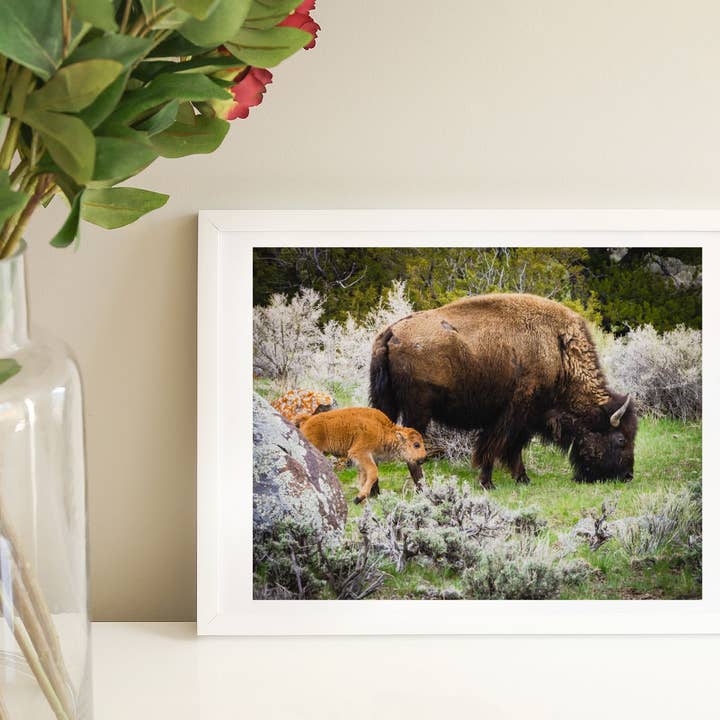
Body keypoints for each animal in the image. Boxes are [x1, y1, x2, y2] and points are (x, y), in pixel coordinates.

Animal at [369, 293, 637, 488]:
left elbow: (511, 449)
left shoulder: (524, 420)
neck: (559, 354)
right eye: (621, 439)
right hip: (419, 410)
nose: (627, 476)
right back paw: (423, 487)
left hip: (386, 404)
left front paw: (522, 479)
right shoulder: (514, 416)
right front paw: (489, 483)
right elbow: (497, 447)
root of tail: (392, 331)